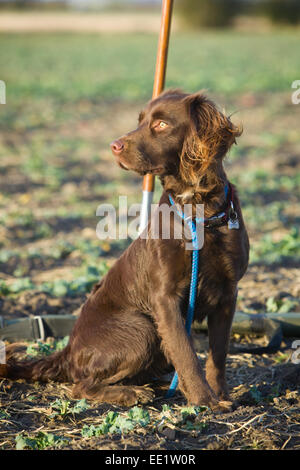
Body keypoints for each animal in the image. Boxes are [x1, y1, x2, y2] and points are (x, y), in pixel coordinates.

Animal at [3, 89, 250, 412]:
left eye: (160, 124)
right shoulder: (164, 298)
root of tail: (68, 350)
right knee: (80, 385)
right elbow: (186, 353)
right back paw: (132, 393)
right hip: (142, 328)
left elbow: (218, 354)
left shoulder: (227, 293)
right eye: (140, 121)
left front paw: (220, 395)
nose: (114, 145)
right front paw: (203, 400)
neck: (198, 209)